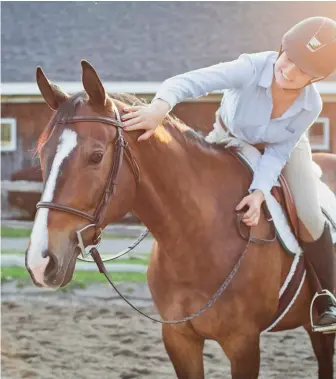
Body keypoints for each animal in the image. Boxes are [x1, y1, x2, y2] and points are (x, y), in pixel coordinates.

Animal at [26, 60, 336, 378]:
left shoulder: (244, 344)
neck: (199, 238)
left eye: (96, 156)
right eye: (43, 154)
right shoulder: (180, 340)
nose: (40, 262)